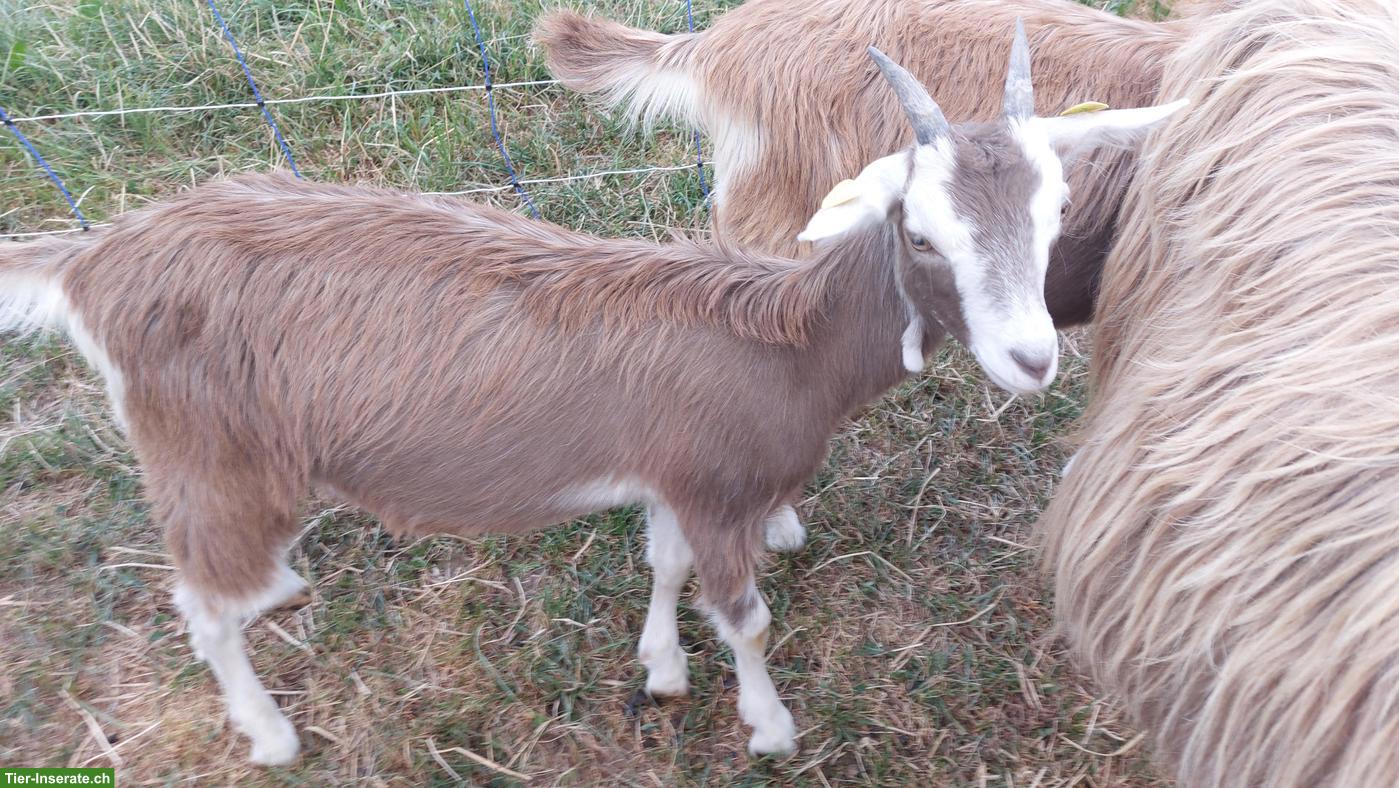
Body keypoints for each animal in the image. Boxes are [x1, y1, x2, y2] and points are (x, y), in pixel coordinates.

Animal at [0, 37, 1180, 763]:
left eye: (1057, 208)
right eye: (924, 235)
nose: (1031, 360)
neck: (785, 345)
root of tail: (95, 259)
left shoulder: (672, 476)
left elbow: (660, 566)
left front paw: (659, 670)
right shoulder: (716, 487)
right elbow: (742, 613)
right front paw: (768, 727)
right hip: (210, 456)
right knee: (202, 603)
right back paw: (271, 732)